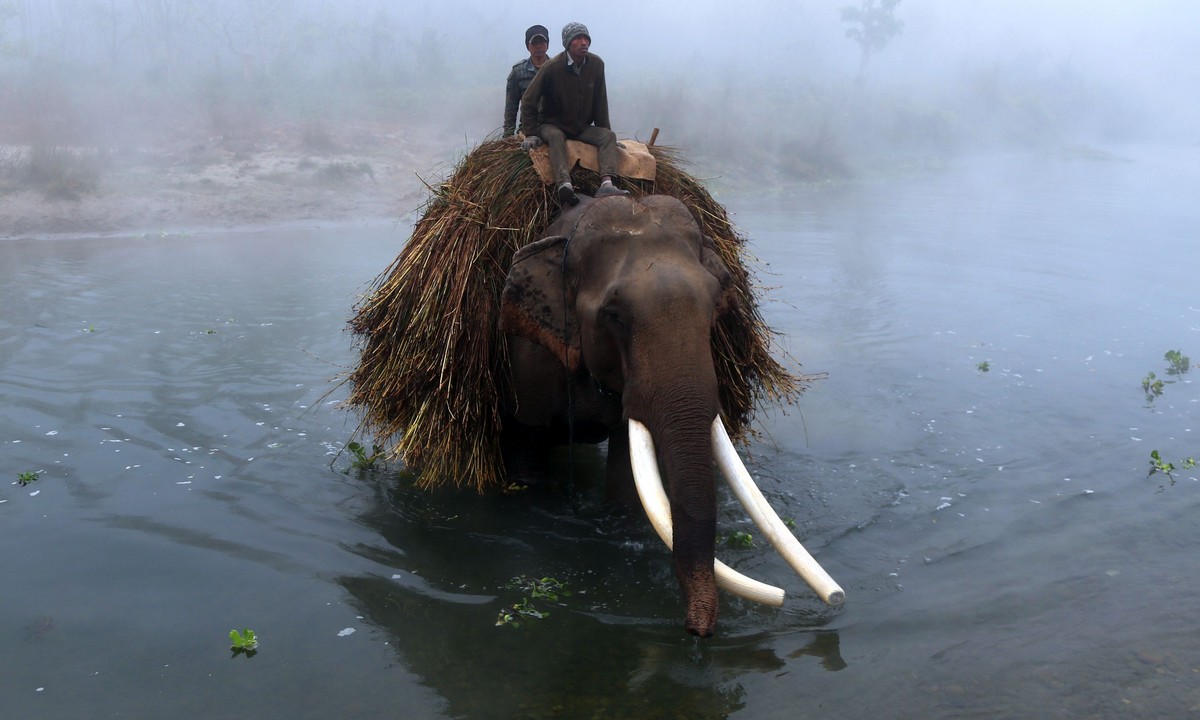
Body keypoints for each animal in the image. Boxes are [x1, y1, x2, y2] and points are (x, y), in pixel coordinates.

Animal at [492, 193, 840, 633]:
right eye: (613, 314)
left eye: (715, 302)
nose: (697, 631)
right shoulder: (526, 360)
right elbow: (528, 461)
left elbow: (626, 477)